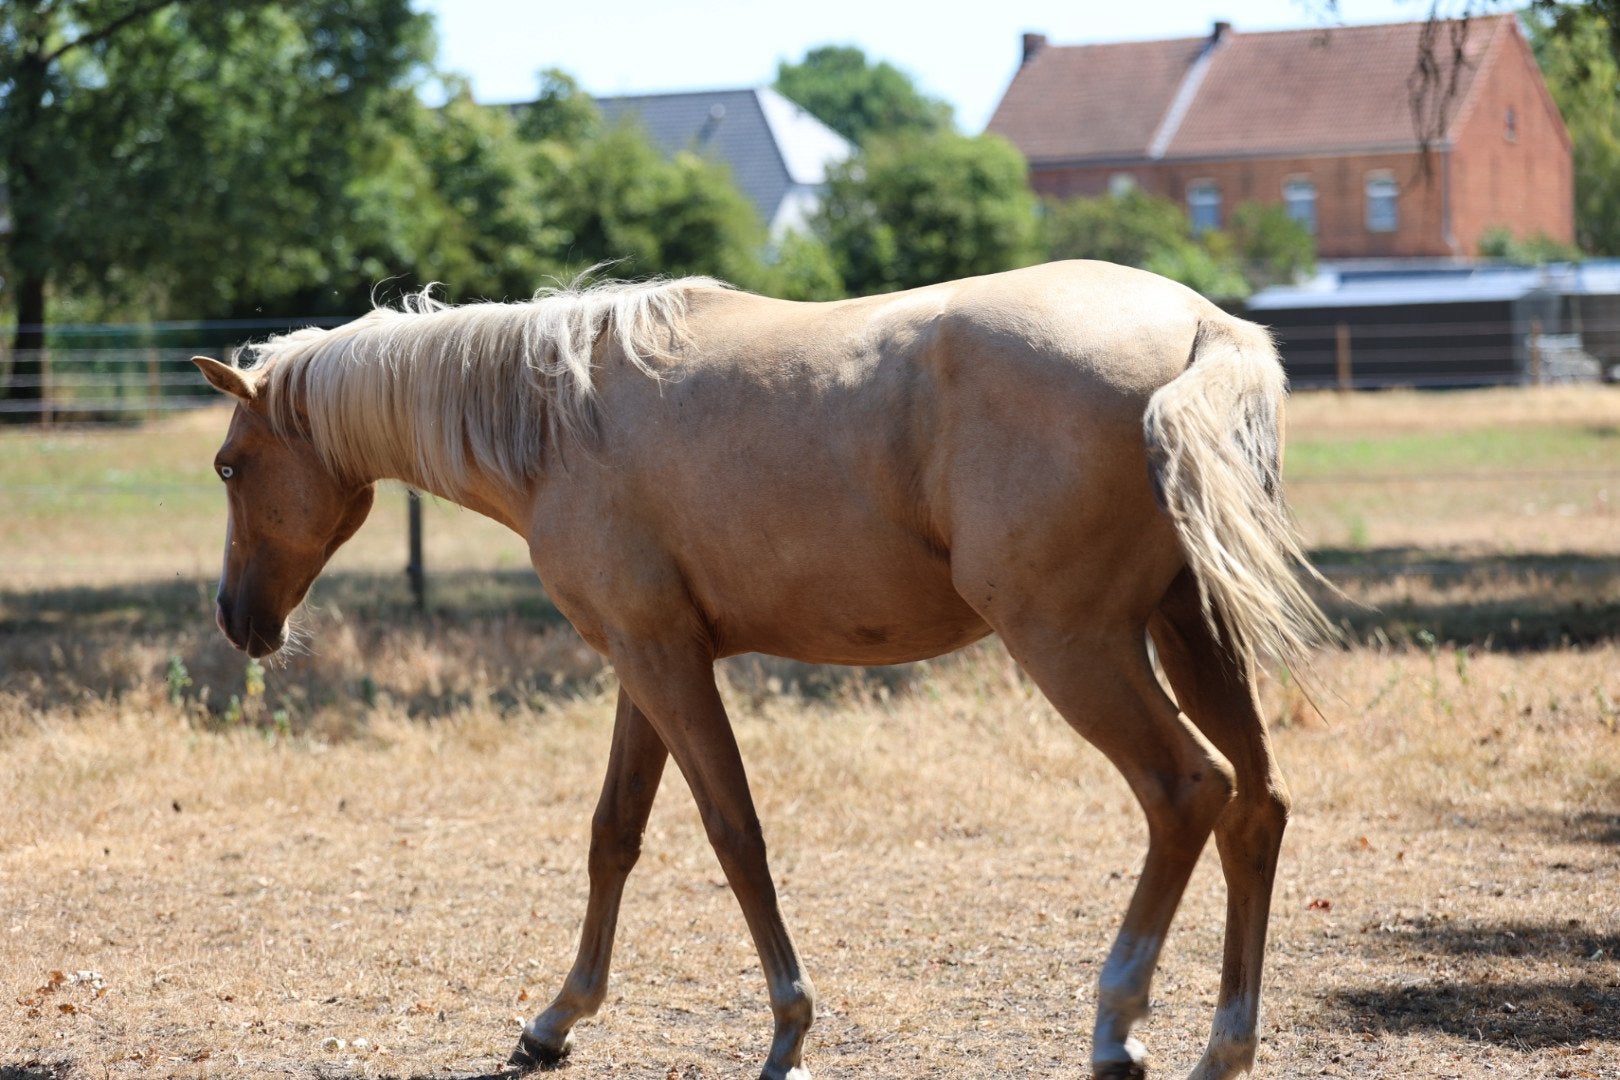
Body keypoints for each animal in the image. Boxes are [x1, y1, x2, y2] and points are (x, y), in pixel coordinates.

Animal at [190, 260, 1331, 1080]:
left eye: (230, 466)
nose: (239, 620)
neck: (558, 420)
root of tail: (1202, 328)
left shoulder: (664, 662)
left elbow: (734, 833)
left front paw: (789, 1030)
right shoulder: (644, 660)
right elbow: (615, 835)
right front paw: (557, 1020)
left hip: (1076, 644)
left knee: (1187, 791)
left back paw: (1117, 1023)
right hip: (1188, 629)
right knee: (1258, 806)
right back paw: (1225, 1047)